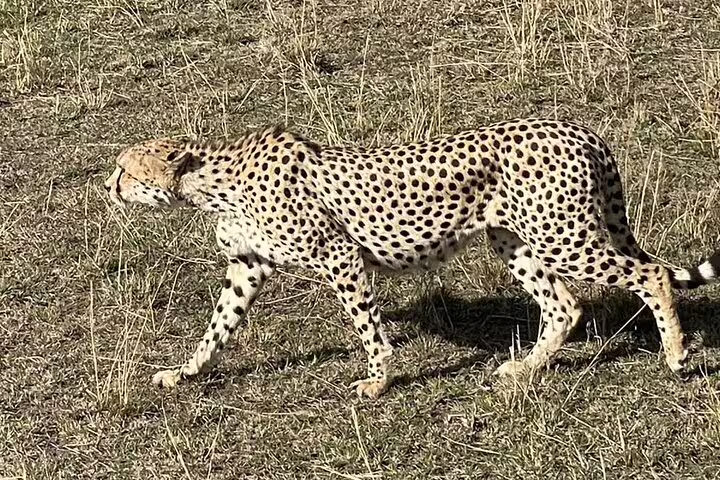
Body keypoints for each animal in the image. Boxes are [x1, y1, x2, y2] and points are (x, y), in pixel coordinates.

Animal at [104, 118, 720, 399]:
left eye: (127, 170)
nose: (107, 186)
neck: (212, 182)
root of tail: (577, 127)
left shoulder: (339, 256)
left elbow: (369, 329)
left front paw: (377, 383)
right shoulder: (247, 267)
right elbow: (216, 329)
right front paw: (185, 372)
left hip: (563, 236)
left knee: (652, 274)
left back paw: (677, 355)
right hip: (515, 241)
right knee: (564, 307)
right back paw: (522, 370)